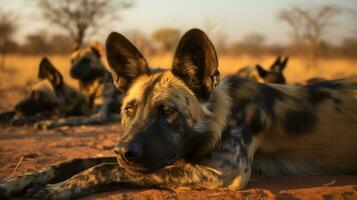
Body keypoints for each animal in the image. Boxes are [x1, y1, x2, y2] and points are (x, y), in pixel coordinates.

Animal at [0, 28, 356, 200]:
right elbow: (73, 161)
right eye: (128, 110)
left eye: (167, 111)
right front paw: (17, 180)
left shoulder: (223, 173)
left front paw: (56, 189)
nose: (122, 150)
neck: (223, 115)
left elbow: (101, 168)